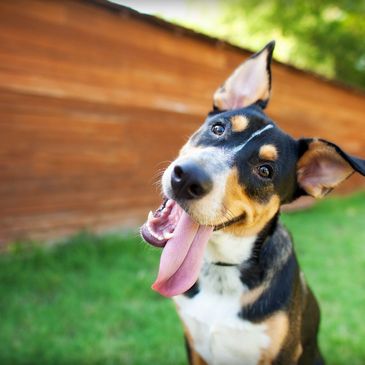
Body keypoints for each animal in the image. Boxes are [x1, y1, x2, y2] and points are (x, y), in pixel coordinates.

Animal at [140, 41, 364, 362]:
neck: (223, 270)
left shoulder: (283, 353)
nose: (187, 178)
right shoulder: (193, 343)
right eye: (218, 128)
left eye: (265, 171)